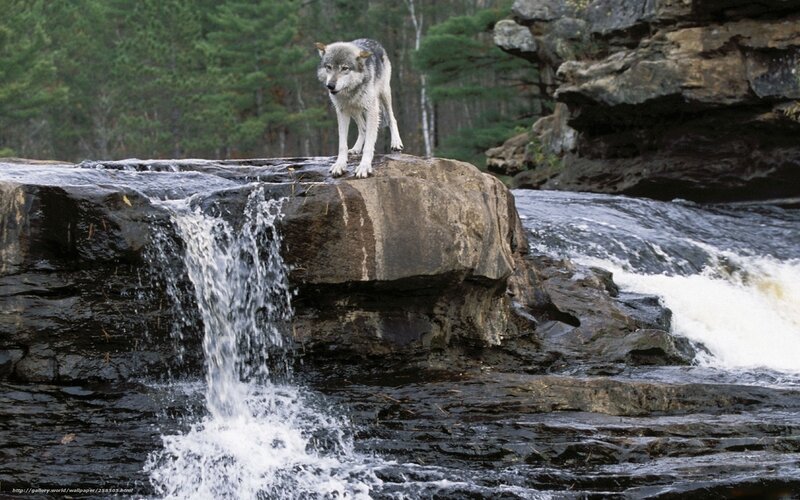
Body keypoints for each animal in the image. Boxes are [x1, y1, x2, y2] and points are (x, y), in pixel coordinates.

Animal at [315, 38, 403, 178]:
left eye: (345, 68)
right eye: (329, 67)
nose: (330, 86)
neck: (350, 91)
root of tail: (373, 41)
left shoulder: (372, 110)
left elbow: (369, 145)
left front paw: (364, 167)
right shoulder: (342, 111)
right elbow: (342, 145)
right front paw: (340, 165)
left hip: (384, 94)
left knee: (392, 119)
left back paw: (396, 142)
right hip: (354, 110)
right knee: (363, 127)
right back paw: (356, 149)